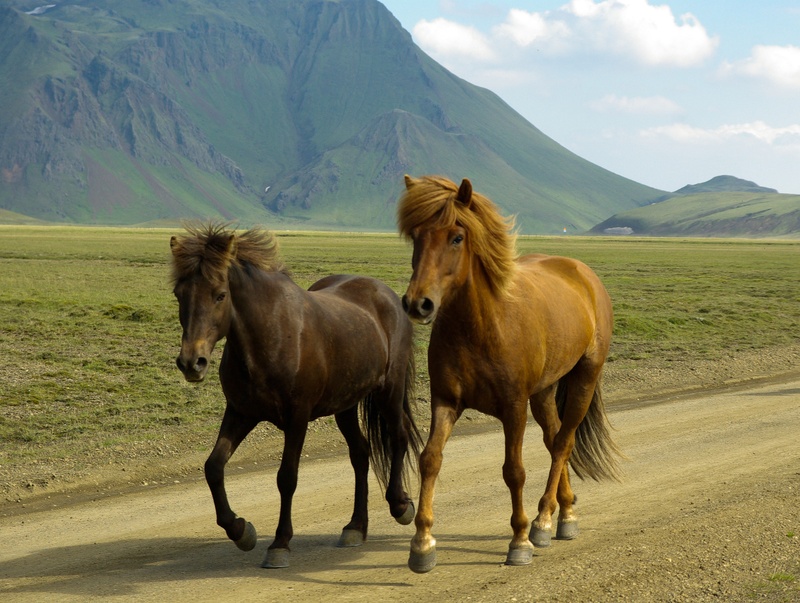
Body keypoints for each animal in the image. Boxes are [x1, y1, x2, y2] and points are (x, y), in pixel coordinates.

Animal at [169, 223, 422, 568]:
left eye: (220, 295)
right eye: (178, 295)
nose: (191, 362)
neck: (269, 336)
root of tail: (385, 294)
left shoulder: (297, 418)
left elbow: (286, 477)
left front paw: (279, 544)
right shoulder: (240, 412)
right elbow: (213, 467)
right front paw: (240, 530)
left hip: (390, 391)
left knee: (398, 436)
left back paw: (400, 505)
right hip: (345, 404)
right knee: (360, 453)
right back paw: (355, 527)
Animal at [397, 175, 622, 573]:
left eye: (457, 237)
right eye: (416, 236)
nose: (417, 303)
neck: (480, 326)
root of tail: (583, 272)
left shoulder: (513, 407)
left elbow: (513, 470)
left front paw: (519, 539)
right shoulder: (446, 402)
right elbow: (430, 460)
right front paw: (422, 543)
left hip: (584, 377)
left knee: (563, 443)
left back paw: (544, 520)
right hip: (544, 392)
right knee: (553, 438)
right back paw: (565, 513)